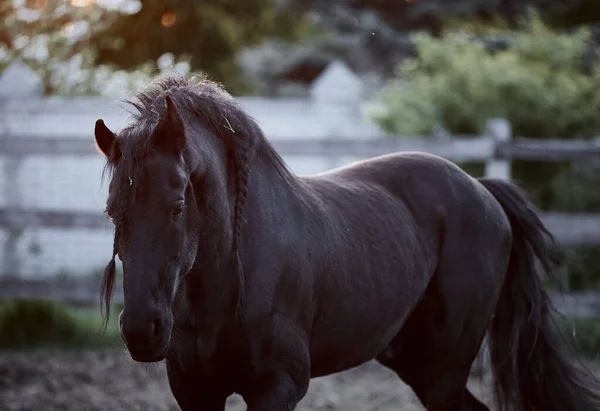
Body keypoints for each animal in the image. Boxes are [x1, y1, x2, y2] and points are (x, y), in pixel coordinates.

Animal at [95, 75, 600, 410]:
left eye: (178, 205)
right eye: (113, 211)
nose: (141, 330)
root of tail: (482, 190)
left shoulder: (278, 386)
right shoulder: (196, 390)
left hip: (444, 368)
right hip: (415, 363)